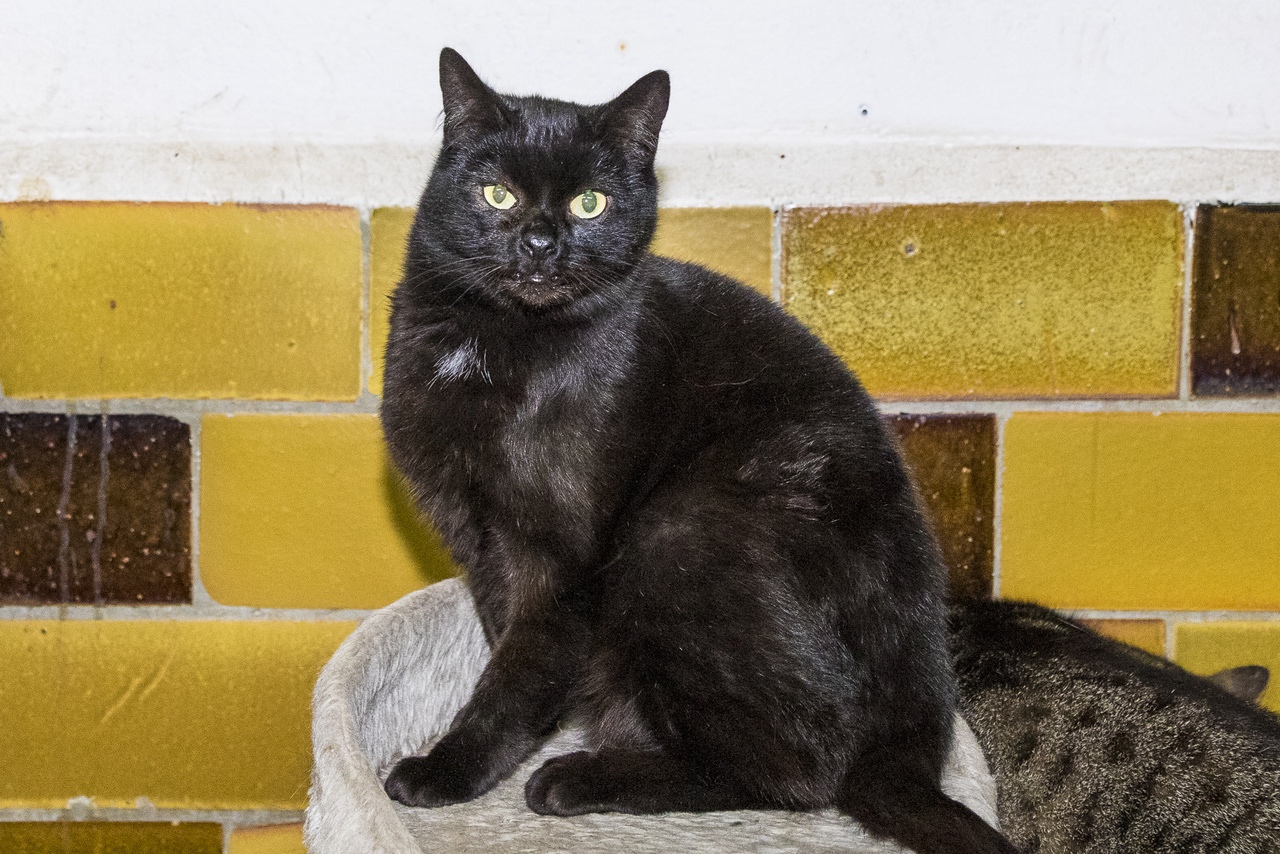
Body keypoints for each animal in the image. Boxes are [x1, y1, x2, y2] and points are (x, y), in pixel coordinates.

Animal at [378, 48, 1018, 854]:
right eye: (497, 193)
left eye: (590, 204)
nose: (541, 241)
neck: (499, 344)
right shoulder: (474, 534)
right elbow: (515, 649)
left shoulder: (559, 551)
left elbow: (521, 667)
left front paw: (447, 771)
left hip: (676, 532)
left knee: (806, 769)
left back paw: (580, 778)